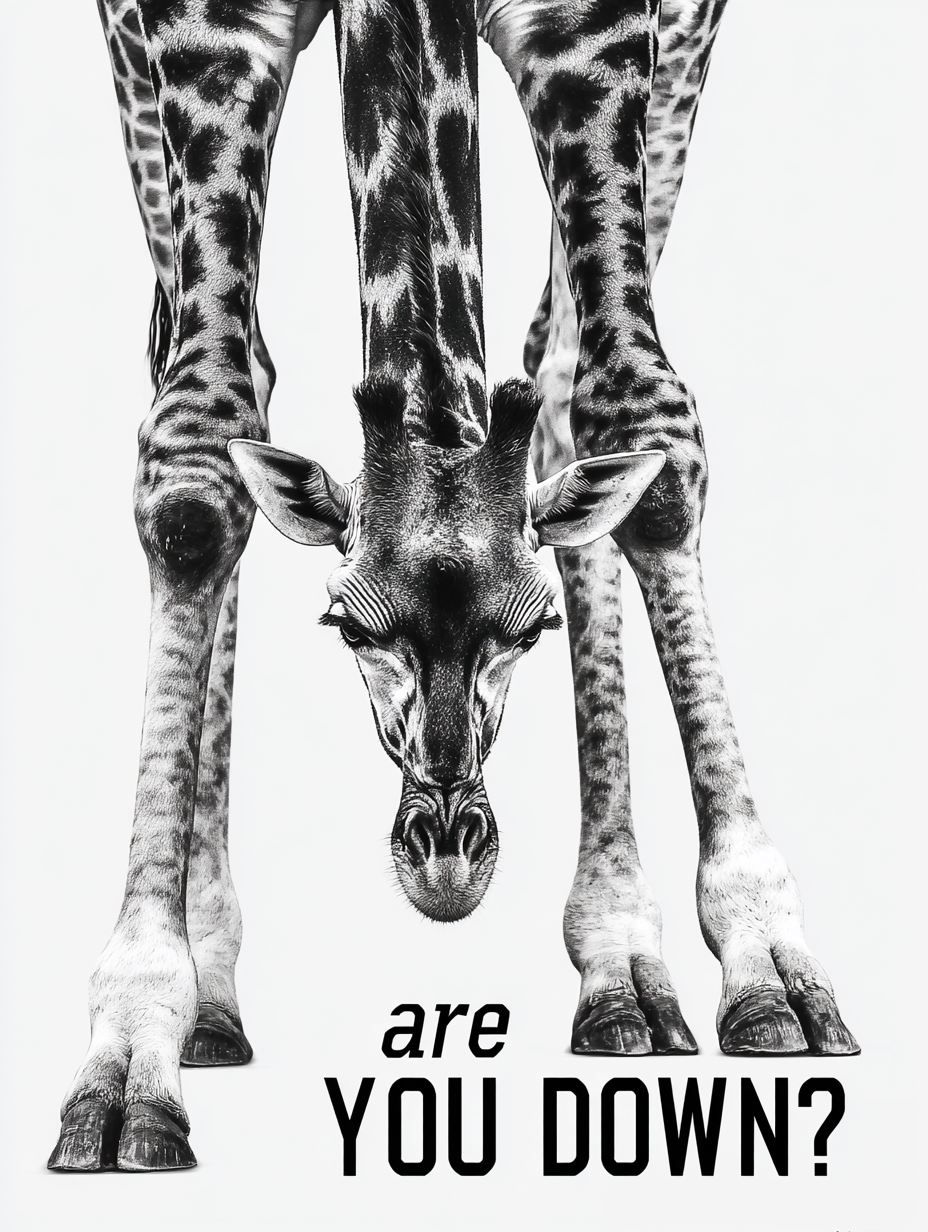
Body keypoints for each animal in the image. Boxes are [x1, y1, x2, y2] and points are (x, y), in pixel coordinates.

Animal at [48, 0, 661, 1172]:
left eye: (536, 627)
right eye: (347, 627)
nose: (447, 868)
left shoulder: (609, 31)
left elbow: (621, 406)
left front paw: (704, 969)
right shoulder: (190, 29)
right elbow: (199, 458)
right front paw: (129, 1061)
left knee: (568, 367)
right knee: (199, 357)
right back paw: (209, 998)